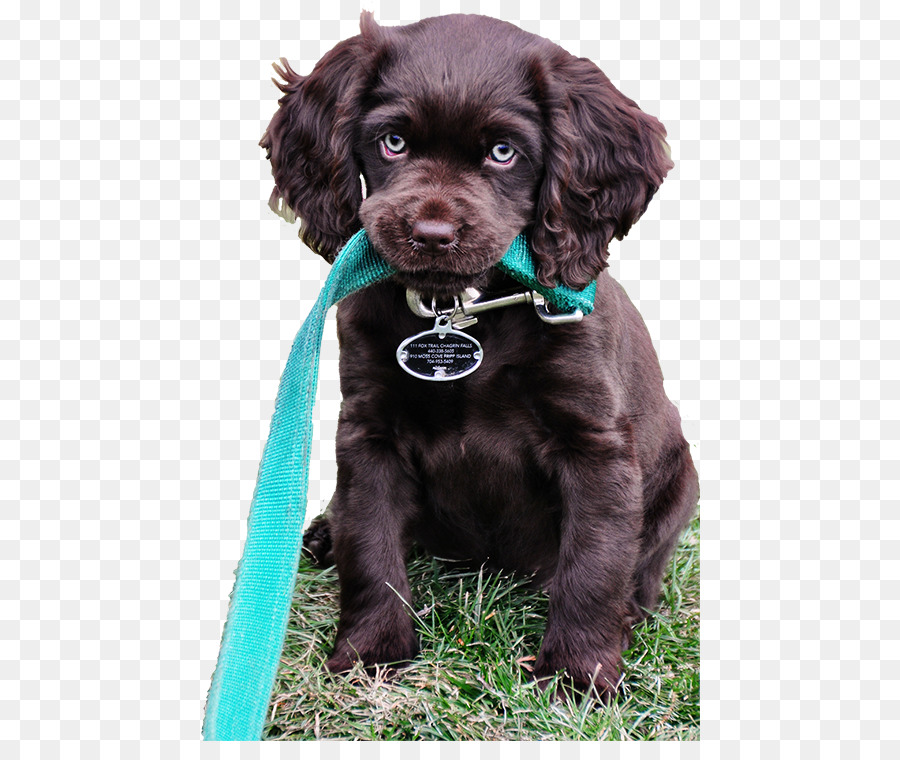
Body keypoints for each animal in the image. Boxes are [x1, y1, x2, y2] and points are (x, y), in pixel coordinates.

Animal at [258, 13, 696, 700]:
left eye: (503, 152)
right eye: (393, 142)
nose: (431, 235)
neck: (459, 311)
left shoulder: (594, 443)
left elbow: (595, 561)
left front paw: (578, 675)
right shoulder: (369, 429)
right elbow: (370, 542)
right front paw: (371, 650)